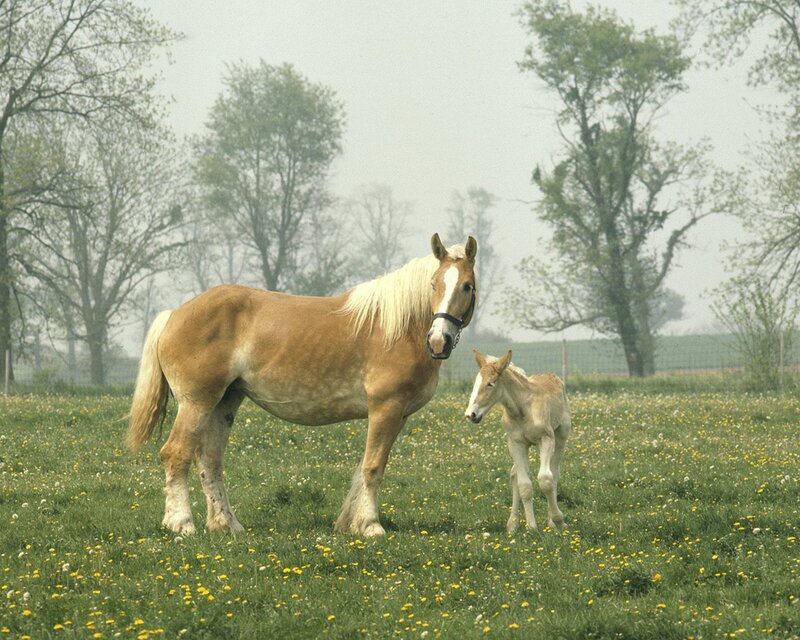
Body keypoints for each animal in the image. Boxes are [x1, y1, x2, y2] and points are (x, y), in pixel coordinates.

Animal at [127, 233, 477, 537]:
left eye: (467, 286)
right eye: (433, 284)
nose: (438, 342)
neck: (401, 328)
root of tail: (174, 314)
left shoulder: (398, 416)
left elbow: (363, 467)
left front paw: (349, 523)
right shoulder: (385, 409)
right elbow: (373, 467)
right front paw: (370, 525)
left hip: (223, 403)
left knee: (210, 461)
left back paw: (227, 524)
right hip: (196, 402)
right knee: (176, 454)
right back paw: (181, 523)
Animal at [464, 350, 570, 533]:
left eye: (491, 383)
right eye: (475, 383)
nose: (471, 414)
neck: (522, 410)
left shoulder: (546, 438)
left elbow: (546, 479)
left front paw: (558, 520)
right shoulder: (516, 444)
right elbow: (524, 485)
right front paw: (532, 527)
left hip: (560, 437)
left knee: (554, 472)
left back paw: (552, 521)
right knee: (514, 474)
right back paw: (512, 524)